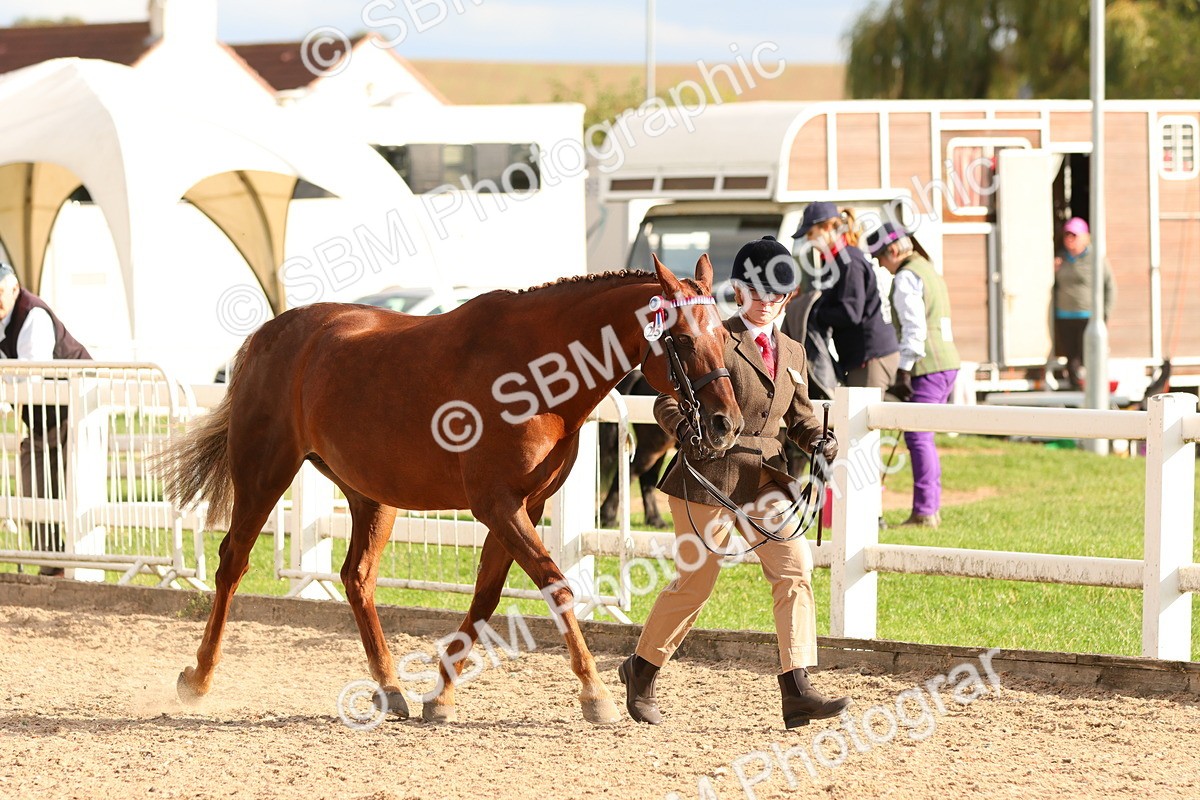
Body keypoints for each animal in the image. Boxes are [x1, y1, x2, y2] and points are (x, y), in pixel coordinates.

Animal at [156, 255, 743, 726]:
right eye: (682, 338)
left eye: (726, 336)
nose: (725, 424)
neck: (534, 371)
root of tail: (270, 333)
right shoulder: (497, 505)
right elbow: (554, 586)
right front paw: (595, 695)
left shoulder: (523, 505)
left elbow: (486, 596)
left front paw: (440, 696)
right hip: (265, 472)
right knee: (233, 562)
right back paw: (198, 679)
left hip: (372, 495)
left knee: (357, 578)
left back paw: (391, 690)